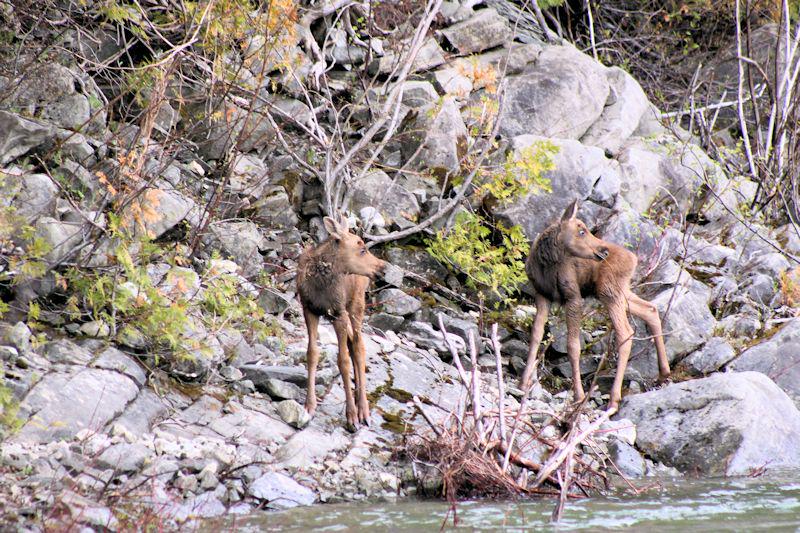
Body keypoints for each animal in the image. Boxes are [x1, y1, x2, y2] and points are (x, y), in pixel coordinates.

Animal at [296, 214, 387, 431]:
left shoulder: (339, 314)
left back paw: (363, 410)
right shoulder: (309, 309)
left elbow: (343, 361)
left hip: (356, 306)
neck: (320, 284)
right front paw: (309, 406)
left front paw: (351, 416)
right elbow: (312, 353)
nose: (383, 267)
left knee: (360, 347)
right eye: (361, 249)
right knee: (354, 343)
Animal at [519, 200, 671, 412]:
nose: (603, 250)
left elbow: (573, 346)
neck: (547, 263)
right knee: (650, 309)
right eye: (581, 231)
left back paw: (614, 398)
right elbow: (535, 335)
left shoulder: (573, 297)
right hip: (617, 292)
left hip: (609, 292)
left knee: (626, 332)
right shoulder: (541, 295)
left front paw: (579, 396)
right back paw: (664, 372)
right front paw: (523, 383)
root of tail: (634, 259)